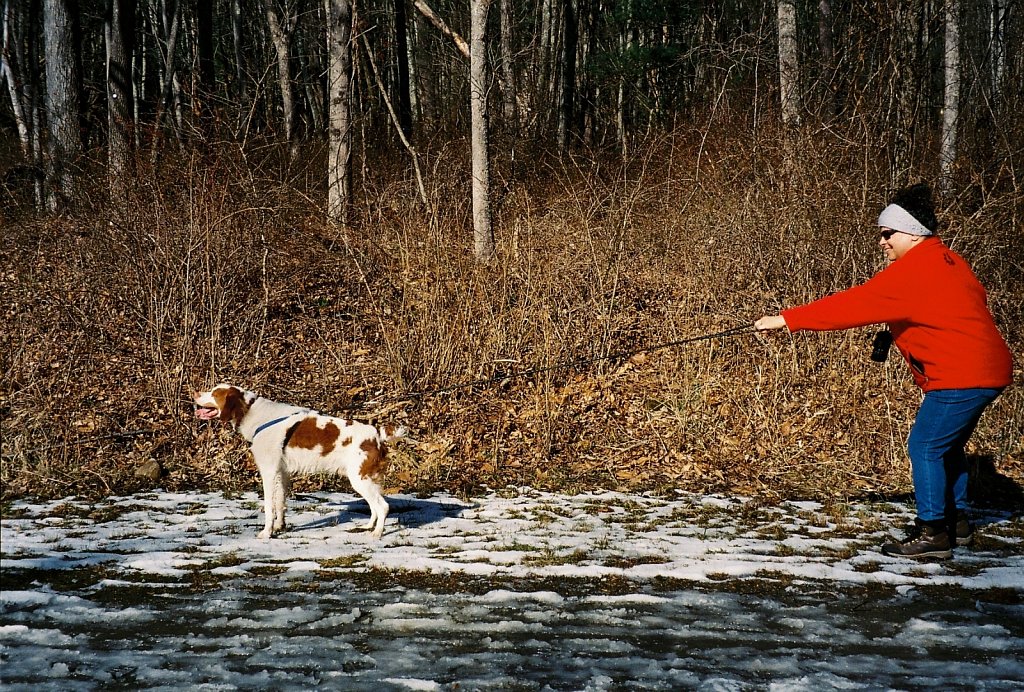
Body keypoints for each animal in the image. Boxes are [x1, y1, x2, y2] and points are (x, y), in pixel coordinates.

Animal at [192, 382, 403, 540]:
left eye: (214, 393)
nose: (195, 392)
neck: (254, 414)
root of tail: (376, 434)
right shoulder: (281, 472)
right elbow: (280, 502)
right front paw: (279, 526)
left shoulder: (269, 471)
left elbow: (269, 506)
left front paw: (266, 532)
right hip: (366, 480)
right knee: (374, 506)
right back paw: (368, 526)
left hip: (360, 479)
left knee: (383, 506)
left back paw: (377, 533)